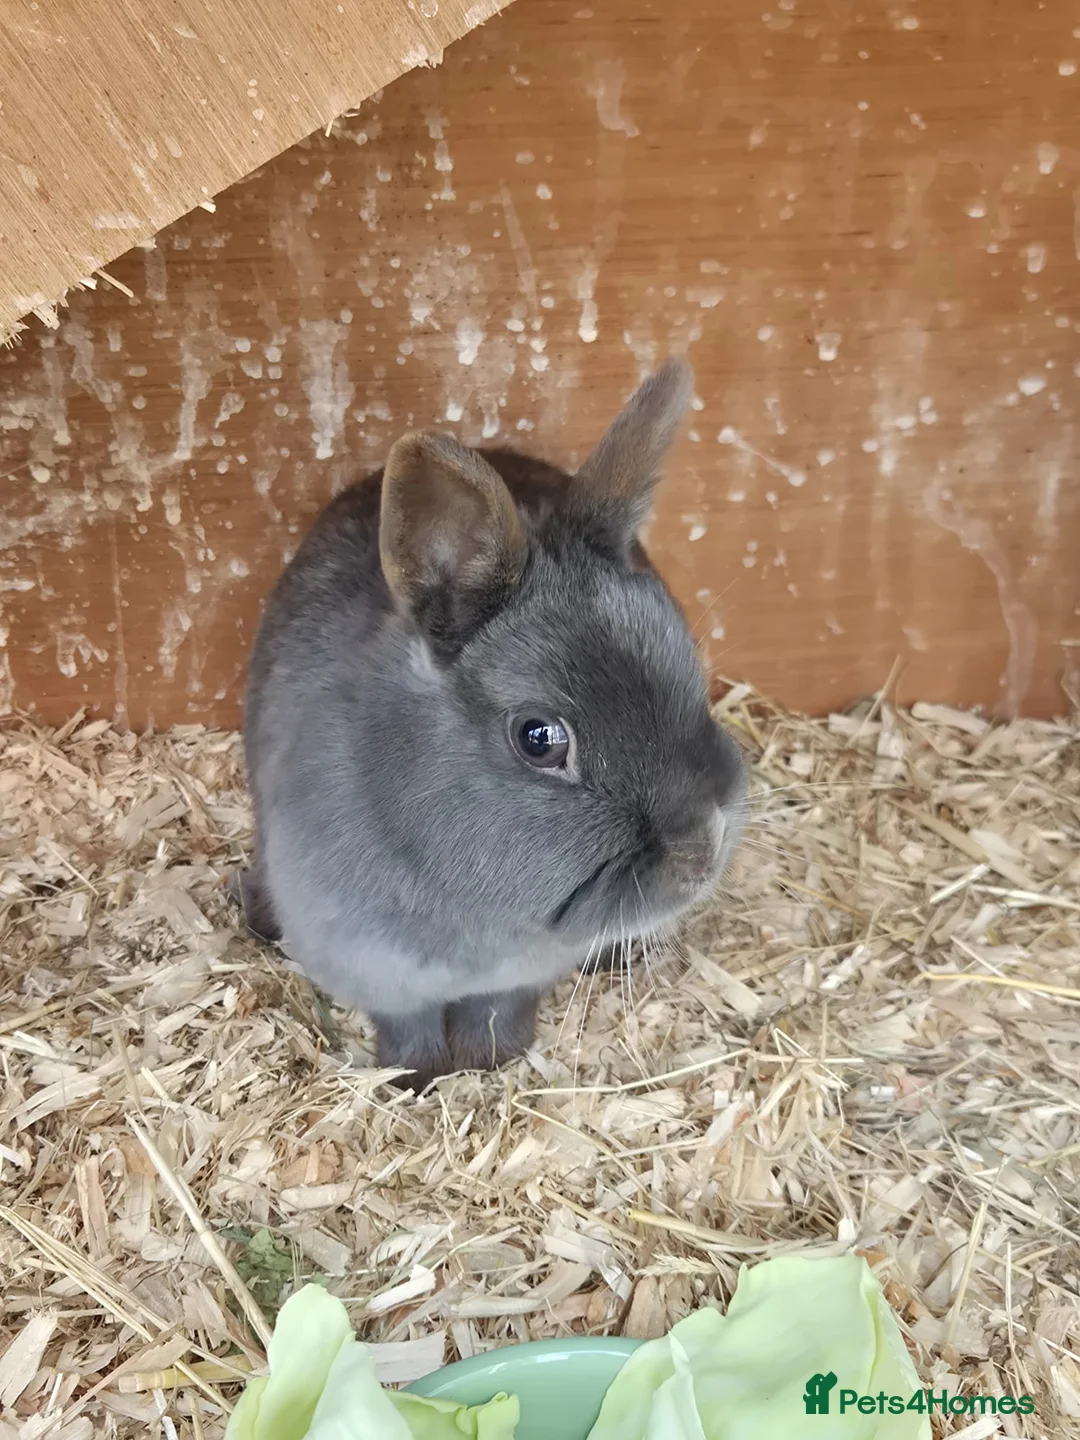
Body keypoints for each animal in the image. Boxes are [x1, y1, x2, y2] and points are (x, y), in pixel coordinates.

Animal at [234, 359, 746, 1088]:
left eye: (690, 665)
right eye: (539, 739)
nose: (701, 851)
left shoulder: (517, 979)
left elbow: (497, 1013)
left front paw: (491, 1062)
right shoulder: (380, 972)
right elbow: (410, 1028)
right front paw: (416, 1080)